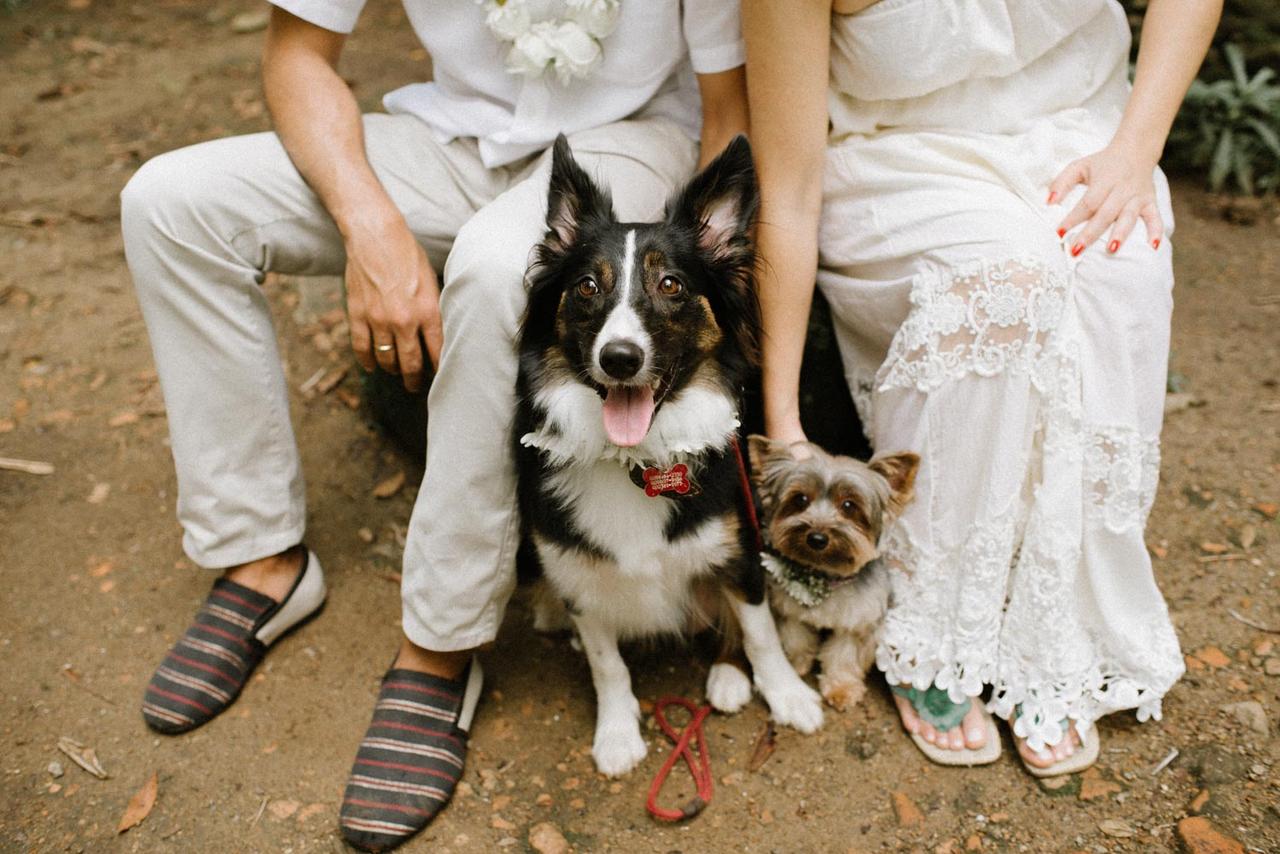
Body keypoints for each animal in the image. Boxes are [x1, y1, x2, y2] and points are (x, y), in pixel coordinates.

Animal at [509, 136, 819, 778]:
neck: (633, 461)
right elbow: (605, 661)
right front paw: (617, 732)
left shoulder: (738, 548)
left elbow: (761, 632)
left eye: (671, 285)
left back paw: (728, 678)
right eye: (587, 287)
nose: (620, 358)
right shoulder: (576, 573)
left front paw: (788, 695)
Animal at [747, 437, 921, 711]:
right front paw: (794, 667)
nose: (817, 538)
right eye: (800, 499)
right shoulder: (787, 609)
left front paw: (842, 688)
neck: (824, 576)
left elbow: (844, 656)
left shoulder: (858, 621)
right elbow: (796, 638)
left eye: (849, 505)